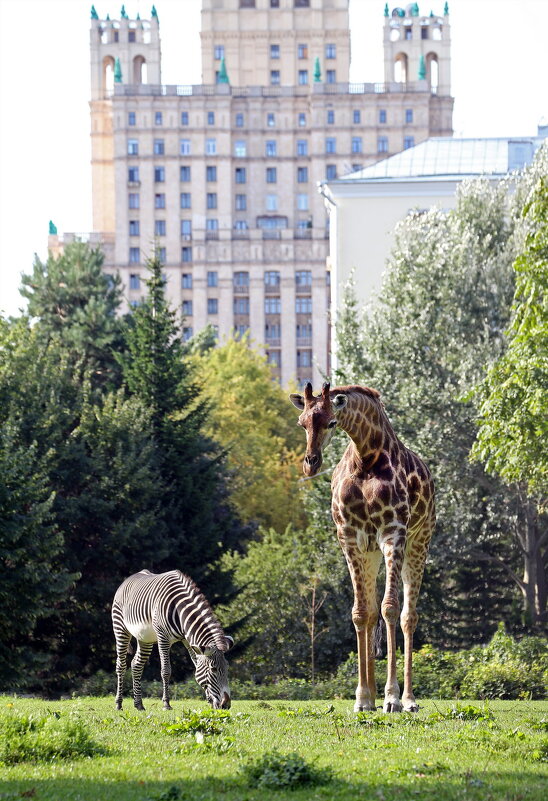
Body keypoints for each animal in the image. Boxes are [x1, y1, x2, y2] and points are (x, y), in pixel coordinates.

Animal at [111, 564, 233, 708]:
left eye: (227, 668)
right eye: (213, 669)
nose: (226, 705)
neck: (181, 613)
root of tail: (128, 579)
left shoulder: (188, 640)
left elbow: (197, 667)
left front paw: (209, 700)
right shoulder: (163, 638)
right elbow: (166, 671)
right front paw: (166, 703)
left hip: (144, 637)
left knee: (136, 664)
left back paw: (139, 704)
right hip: (120, 629)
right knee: (121, 665)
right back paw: (119, 703)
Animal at [288, 382, 434, 712]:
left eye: (332, 422)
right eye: (302, 423)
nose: (311, 463)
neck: (366, 459)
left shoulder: (393, 532)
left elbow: (389, 608)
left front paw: (391, 697)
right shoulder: (349, 536)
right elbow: (361, 612)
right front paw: (363, 698)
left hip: (419, 542)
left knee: (409, 616)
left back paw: (409, 700)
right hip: (371, 553)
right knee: (371, 611)